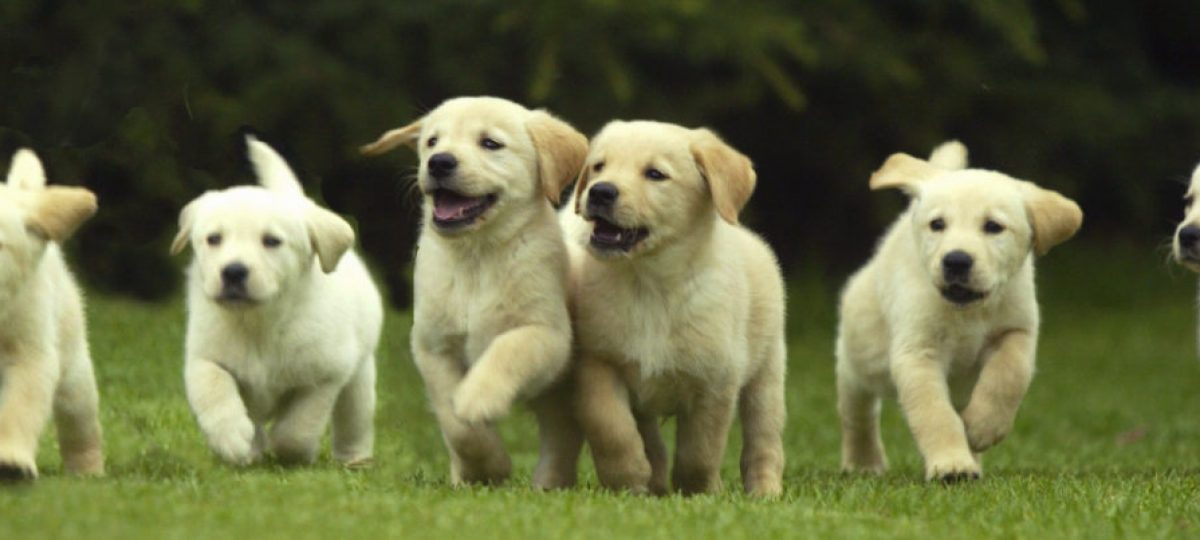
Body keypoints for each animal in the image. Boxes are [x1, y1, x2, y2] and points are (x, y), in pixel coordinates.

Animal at [0, 147, 103, 480]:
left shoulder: (29, 348)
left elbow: (21, 403)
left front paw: (10, 460)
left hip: (74, 371)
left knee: (80, 424)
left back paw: (88, 470)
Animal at [171, 136, 379, 468]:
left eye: (271, 241)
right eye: (214, 238)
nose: (233, 271)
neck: (259, 322)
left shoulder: (326, 375)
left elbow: (298, 427)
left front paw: (292, 454)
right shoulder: (204, 356)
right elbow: (214, 390)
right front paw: (232, 439)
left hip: (359, 378)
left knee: (354, 421)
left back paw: (354, 460)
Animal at [362, 97, 592, 489]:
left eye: (490, 143)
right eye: (432, 142)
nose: (439, 162)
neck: (477, 255)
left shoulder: (548, 335)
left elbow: (507, 349)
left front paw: (477, 397)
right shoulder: (432, 346)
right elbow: (456, 424)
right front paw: (486, 468)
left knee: (560, 438)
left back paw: (548, 483)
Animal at [566, 120, 792, 496]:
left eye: (655, 174)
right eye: (598, 166)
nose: (600, 192)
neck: (649, 284)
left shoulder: (715, 381)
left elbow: (699, 451)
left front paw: (702, 492)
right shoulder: (598, 362)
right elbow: (611, 429)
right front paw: (629, 479)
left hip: (767, 372)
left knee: (764, 439)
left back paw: (764, 491)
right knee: (650, 439)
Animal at [835, 140, 1089, 480]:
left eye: (994, 227)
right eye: (937, 224)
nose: (956, 261)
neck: (968, 311)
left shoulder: (1016, 330)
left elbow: (1008, 375)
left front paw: (982, 428)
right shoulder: (919, 351)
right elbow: (935, 414)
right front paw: (951, 465)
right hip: (861, 356)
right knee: (858, 413)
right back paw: (863, 462)